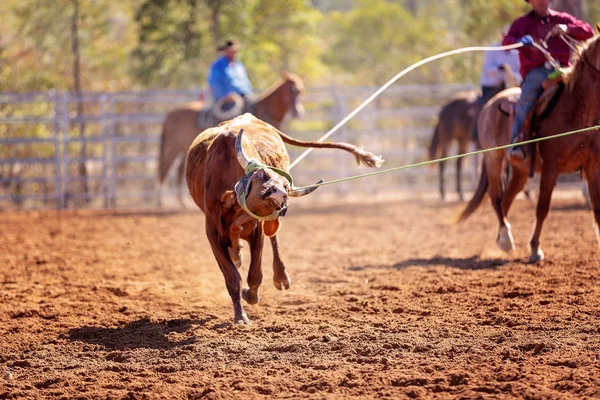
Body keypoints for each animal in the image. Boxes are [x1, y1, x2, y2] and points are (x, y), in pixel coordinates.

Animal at [158, 71, 304, 206]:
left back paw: (182, 202)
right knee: (164, 170)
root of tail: (169, 115)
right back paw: (161, 202)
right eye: (292, 90)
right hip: (172, 149)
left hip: (184, 151)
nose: (298, 112)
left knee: (178, 172)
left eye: (300, 90)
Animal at [460, 31, 600, 262]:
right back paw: (506, 239)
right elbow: (542, 207)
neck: (576, 108)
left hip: (520, 171)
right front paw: (535, 249)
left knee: (506, 199)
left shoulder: (592, 166)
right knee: (496, 198)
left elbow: (596, 207)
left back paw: (501, 240)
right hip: (494, 159)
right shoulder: (551, 167)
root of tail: (490, 104)